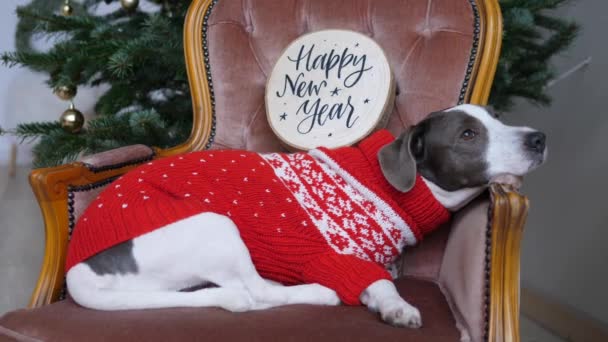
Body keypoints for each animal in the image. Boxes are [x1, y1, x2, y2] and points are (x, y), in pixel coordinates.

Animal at [65, 105, 548, 328]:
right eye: (468, 135)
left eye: (497, 118)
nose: (539, 138)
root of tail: (76, 271)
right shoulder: (329, 258)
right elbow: (377, 283)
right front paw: (396, 305)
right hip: (216, 224)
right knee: (252, 293)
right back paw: (314, 293)